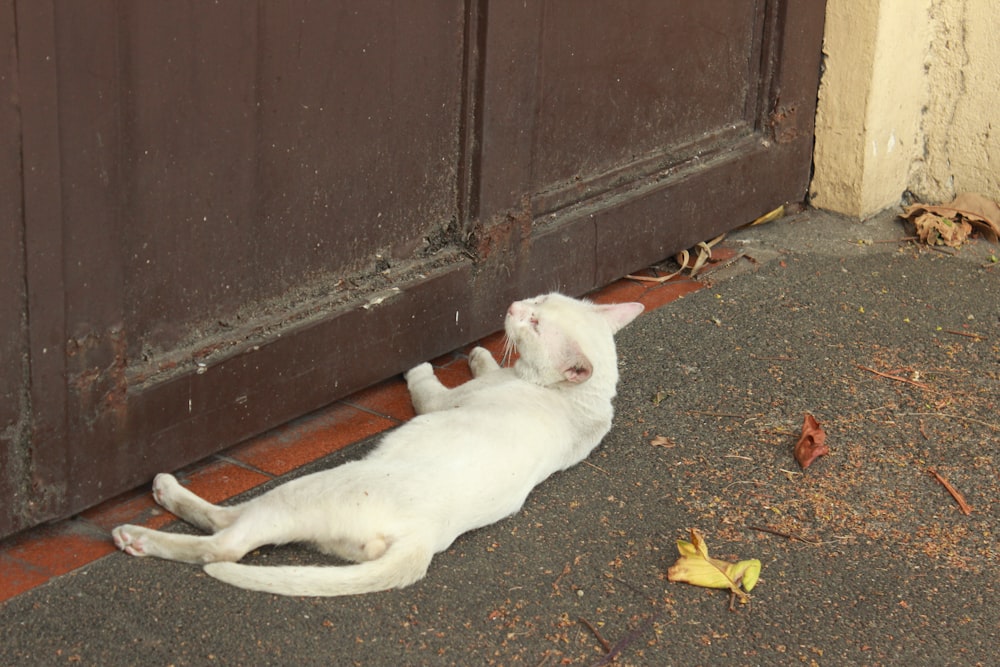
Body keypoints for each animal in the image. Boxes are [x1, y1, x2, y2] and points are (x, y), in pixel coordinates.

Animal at [109, 294, 640, 596]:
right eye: (540, 299)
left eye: (535, 325)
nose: (513, 309)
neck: (584, 402)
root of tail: (422, 542)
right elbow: (488, 363)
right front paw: (481, 352)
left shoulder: (440, 401)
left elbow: (425, 384)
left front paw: (425, 361)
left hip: (303, 489)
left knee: (223, 541)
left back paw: (146, 520)